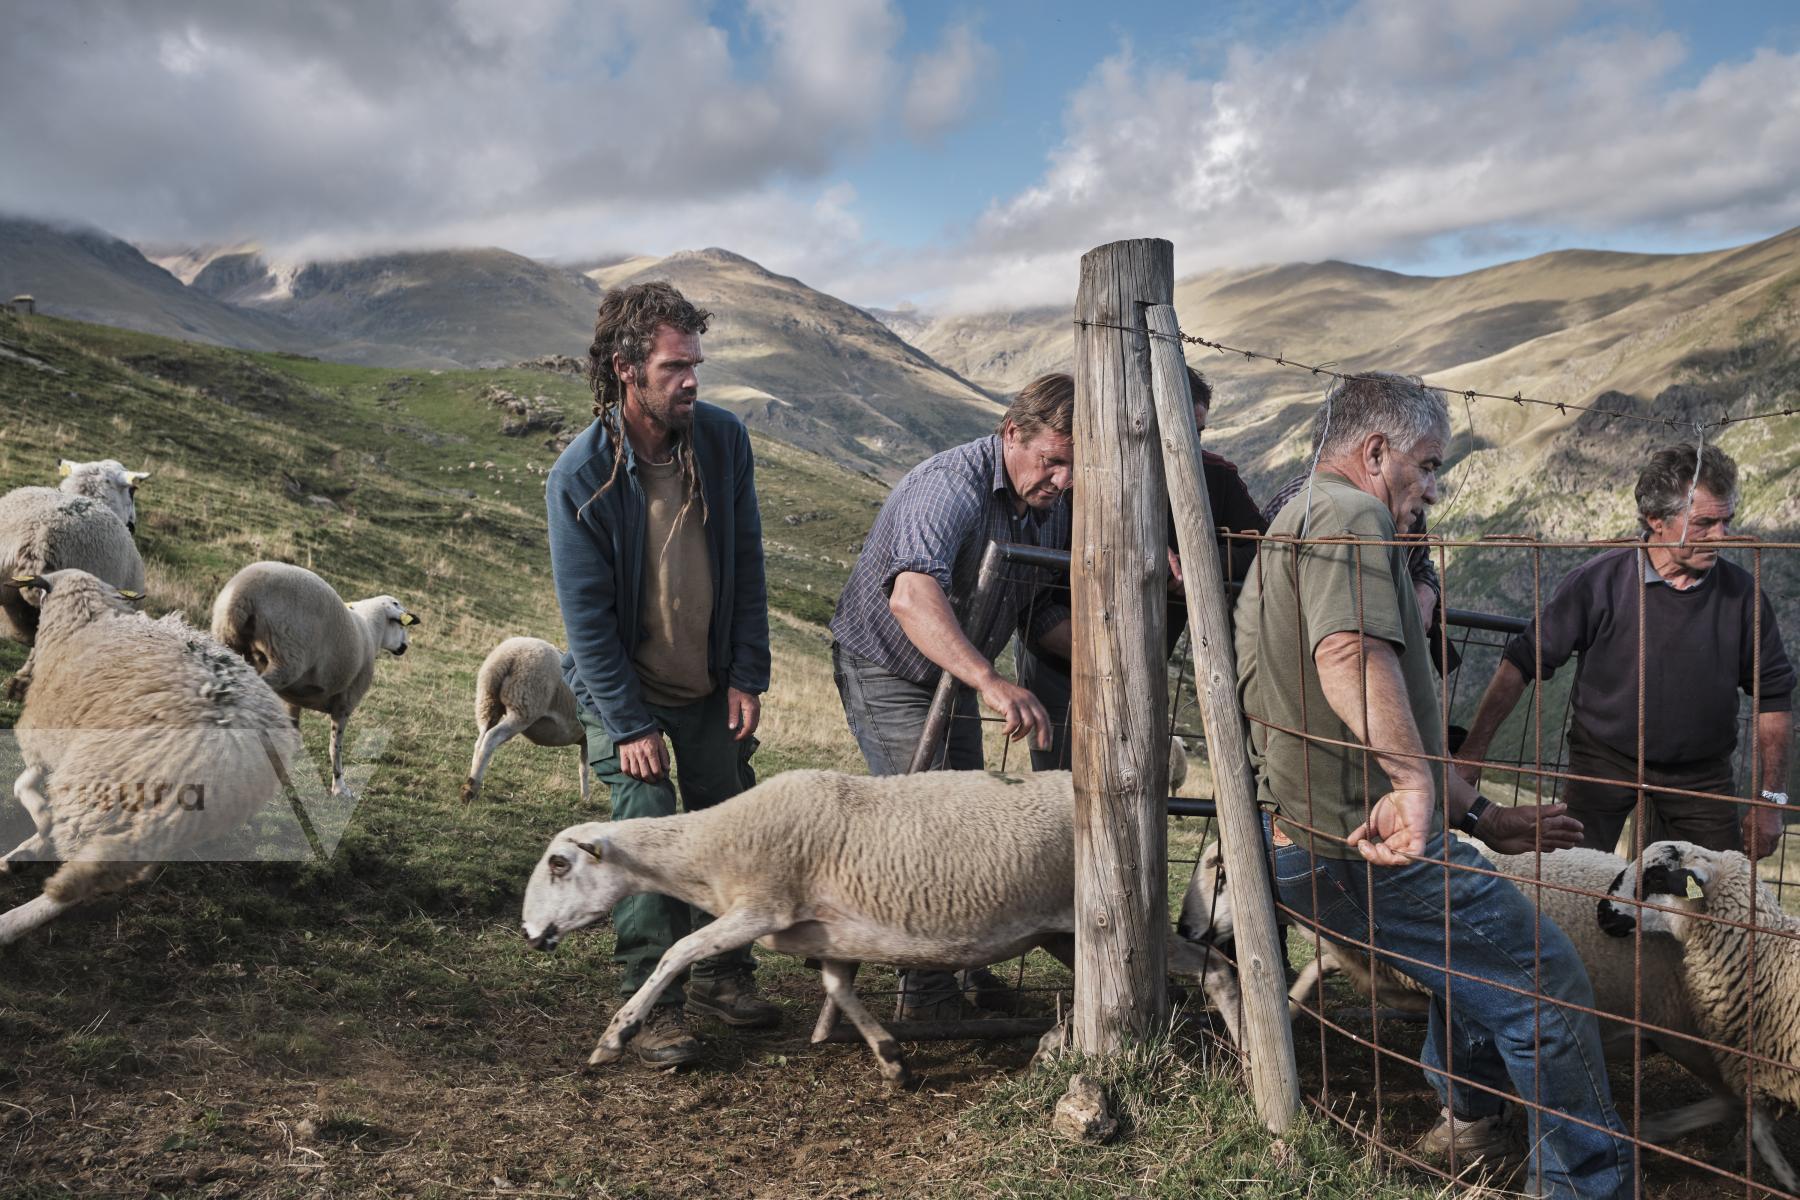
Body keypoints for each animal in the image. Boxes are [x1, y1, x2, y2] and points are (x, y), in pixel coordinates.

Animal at [0, 572, 298, 949]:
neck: (85, 620)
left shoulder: (46, 738)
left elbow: (23, 787)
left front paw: (35, 829)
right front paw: (30, 846)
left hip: (100, 786)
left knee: (82, 877)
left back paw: (10, 923)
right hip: (166, 818)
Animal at [210, 564, 417, 798]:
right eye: (401, 625)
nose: (405, 646)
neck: (370, 631)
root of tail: (243, 592)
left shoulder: (292, 700)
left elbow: (292, 735)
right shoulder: (346, 702)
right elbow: (335, 747)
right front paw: (340, 788)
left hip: (228, 643)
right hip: (286, 657)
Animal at [460, 636, 586, 805]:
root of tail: (508, 657)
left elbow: (583, 767)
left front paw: (585, 798)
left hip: (487, 703)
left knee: (480, 740)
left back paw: (471, 783)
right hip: (523, 707)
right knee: (491, 738)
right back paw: (471, 789)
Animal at [525, 770, 1238, 1086]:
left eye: (559, 864)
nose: (531, 934)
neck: (713, 848)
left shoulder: (761, 907)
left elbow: (678, 950)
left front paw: (615, 1037)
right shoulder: (832, 935)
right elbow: (838, 989)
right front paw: (891, 1056)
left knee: (1220, 969)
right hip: (1065, 934)